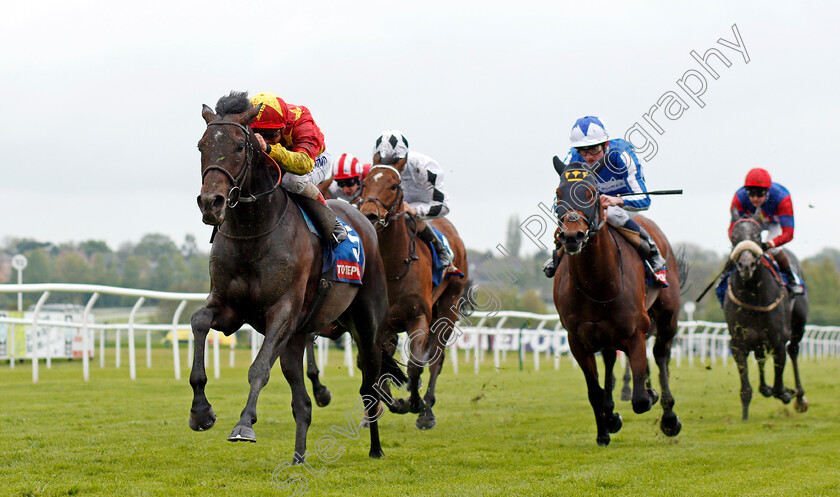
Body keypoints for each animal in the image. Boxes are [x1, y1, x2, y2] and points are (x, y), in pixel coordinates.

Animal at [190, 91, 400, 460]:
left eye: (240, 147)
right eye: (202, 146)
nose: (211, 203)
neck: (253, 232)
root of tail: (364, 220)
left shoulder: (283, 311)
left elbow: (259, 368)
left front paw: (244, 424)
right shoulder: (229, 307)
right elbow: (199, 321)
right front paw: (201, 411)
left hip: (368, 325)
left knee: (370, 387)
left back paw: (376, 449)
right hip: (298, 337)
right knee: (302, 403)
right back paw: (298, 458)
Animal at [356, 165, 470, 428]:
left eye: (393, 185)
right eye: (364, 183)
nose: (370, 215)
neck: (392, 267)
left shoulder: (418, 318)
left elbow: (416, 364)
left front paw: (415, 403)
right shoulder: (379, 325)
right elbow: (378, 366)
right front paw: (395, 403)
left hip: (449, 307)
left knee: (437, 359)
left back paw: (426, 411)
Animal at [552, 159, 684, 446]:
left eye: (591, 193)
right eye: (558, 193)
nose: (572, 236)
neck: (597, 285)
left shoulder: (635, 333)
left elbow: (640, 400)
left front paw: (650, 395)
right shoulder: (577, 340)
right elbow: (595, 391)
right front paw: (605, 428)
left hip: (668, 314)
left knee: (661, 353)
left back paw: (669, 416)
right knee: (611, 359)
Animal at [720, 217, 808, 418]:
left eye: (757, 235)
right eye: (734, 235)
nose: (746, 265)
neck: (753, 296)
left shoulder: (778, 340)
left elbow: (779, 383)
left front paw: (786, 393)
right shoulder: (738, 342)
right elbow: (746, 388)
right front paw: (744, 417)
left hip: (798, 325)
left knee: (793, 350)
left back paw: (799, 397)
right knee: (760, 357)